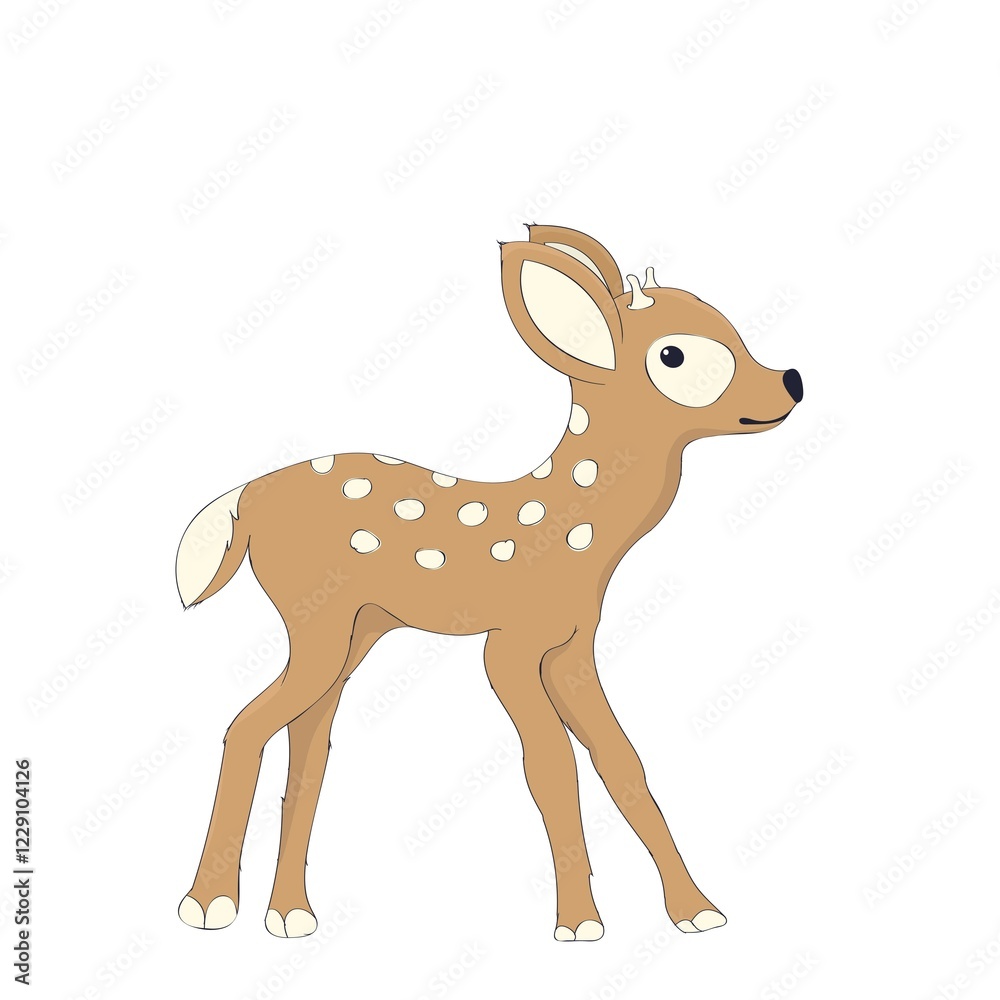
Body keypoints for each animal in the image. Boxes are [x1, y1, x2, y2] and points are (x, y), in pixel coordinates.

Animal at [175, 224, 802, 941]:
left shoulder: (571, 647)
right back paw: (208, 905)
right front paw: (579, 922)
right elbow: (552, 766)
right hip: (316, 619)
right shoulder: (509, 647)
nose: (791, 380)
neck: (573, 533)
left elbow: (622, 761)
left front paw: (696, 910)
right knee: (246, 727)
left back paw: (290, 914)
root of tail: (245, 496)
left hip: (353, 630)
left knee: (308, 745)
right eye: (674, 355)